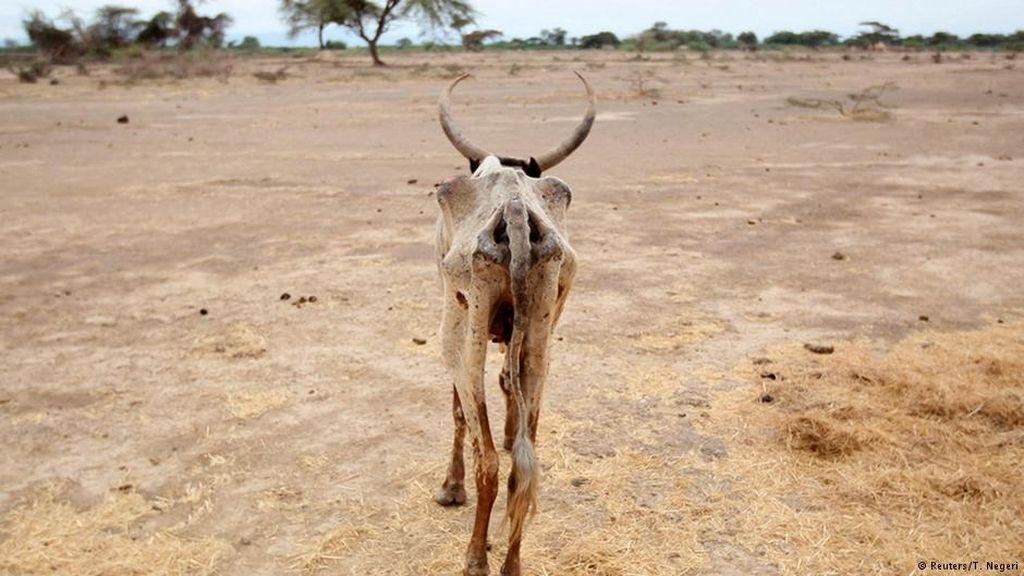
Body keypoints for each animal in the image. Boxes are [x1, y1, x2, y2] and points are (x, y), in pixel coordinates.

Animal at [431, 72, 595, 576]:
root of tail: (515, 209)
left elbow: (459, 411)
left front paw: (450, 488)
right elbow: (509, 382)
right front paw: (508, 430)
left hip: (460, 335)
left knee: (486, 458)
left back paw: (475, 558)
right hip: (543, 330)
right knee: (527, 462)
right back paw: (512, 563)